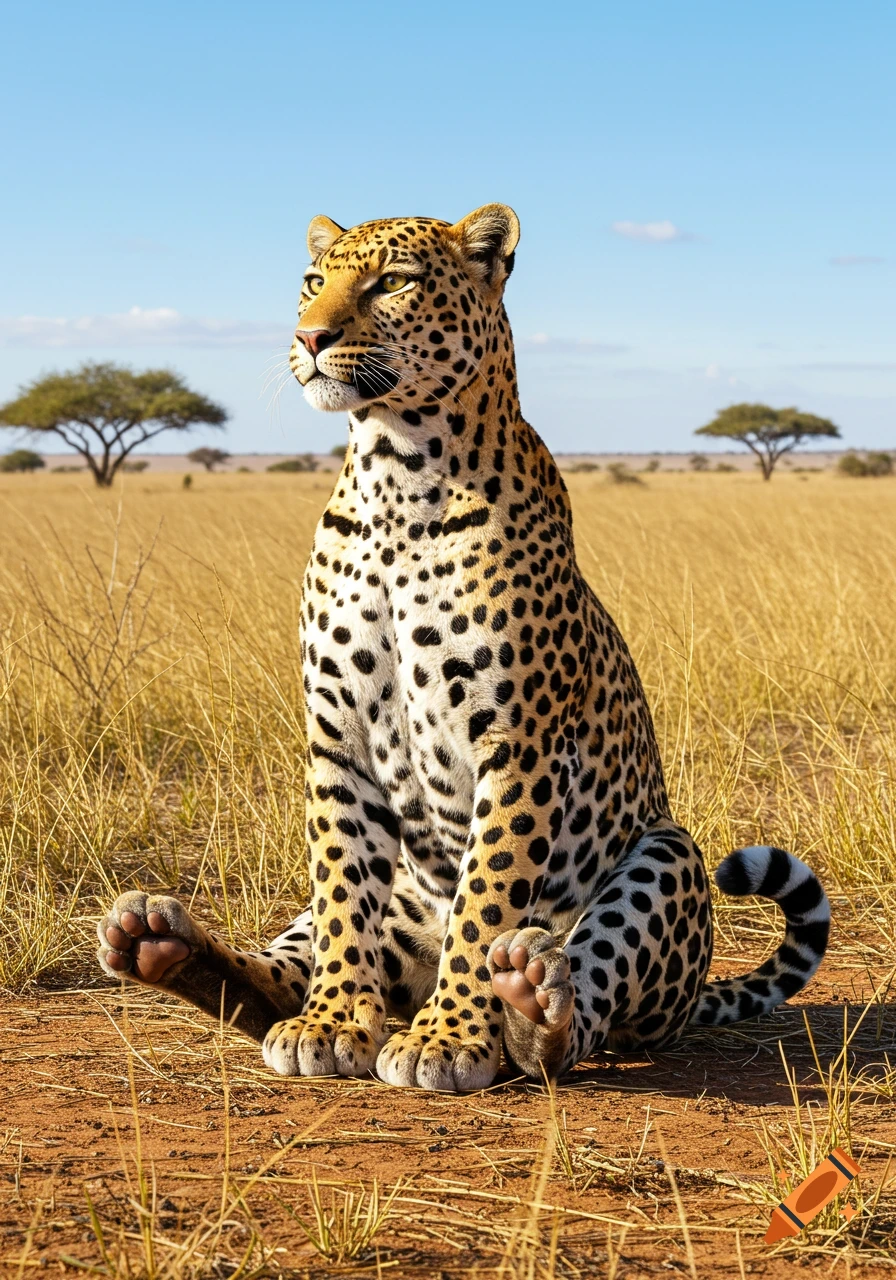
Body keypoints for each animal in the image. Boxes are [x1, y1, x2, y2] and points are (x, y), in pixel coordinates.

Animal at [97, 203, 831, 1091]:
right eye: (314, 281)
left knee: (583, 1017)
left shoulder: (520, 745)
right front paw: (333, 1021)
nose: (309, 336)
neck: (394, 477)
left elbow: (488, 895)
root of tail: (692, 998)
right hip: (400, 900)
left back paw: (530, 1001)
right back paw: (163, 944)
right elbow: (340, 892)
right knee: (282, 975)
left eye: (392, 282)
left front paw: (450, 1039)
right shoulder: (336, 738)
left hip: (670, 854)